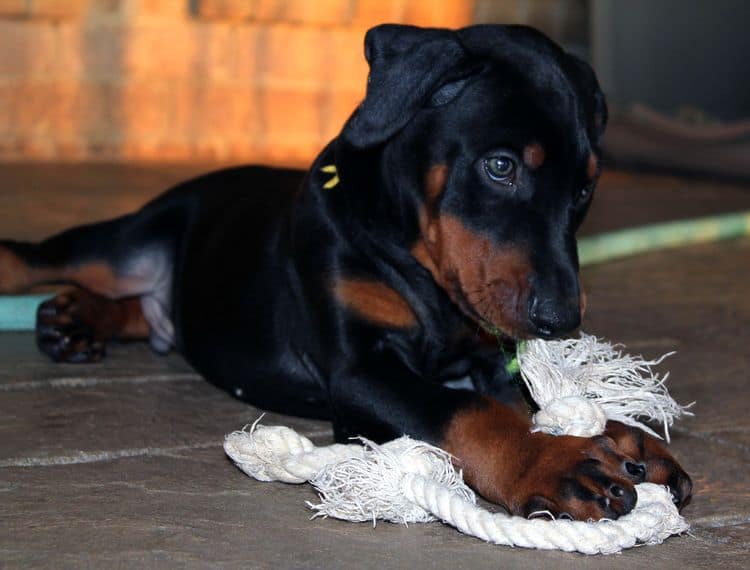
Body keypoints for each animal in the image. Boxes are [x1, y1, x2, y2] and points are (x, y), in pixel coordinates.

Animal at [1, 23, 692, 520]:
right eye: (500, 166)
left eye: (585, 190)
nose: (560, 320)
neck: (419, 266)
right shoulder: (360, 371)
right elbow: (465, 411)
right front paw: (551, 461)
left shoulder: (487, 350)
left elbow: (520, 397)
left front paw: (623, 437)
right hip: (126, 241)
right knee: (41, 256)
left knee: (148, 312)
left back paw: (76, 319)